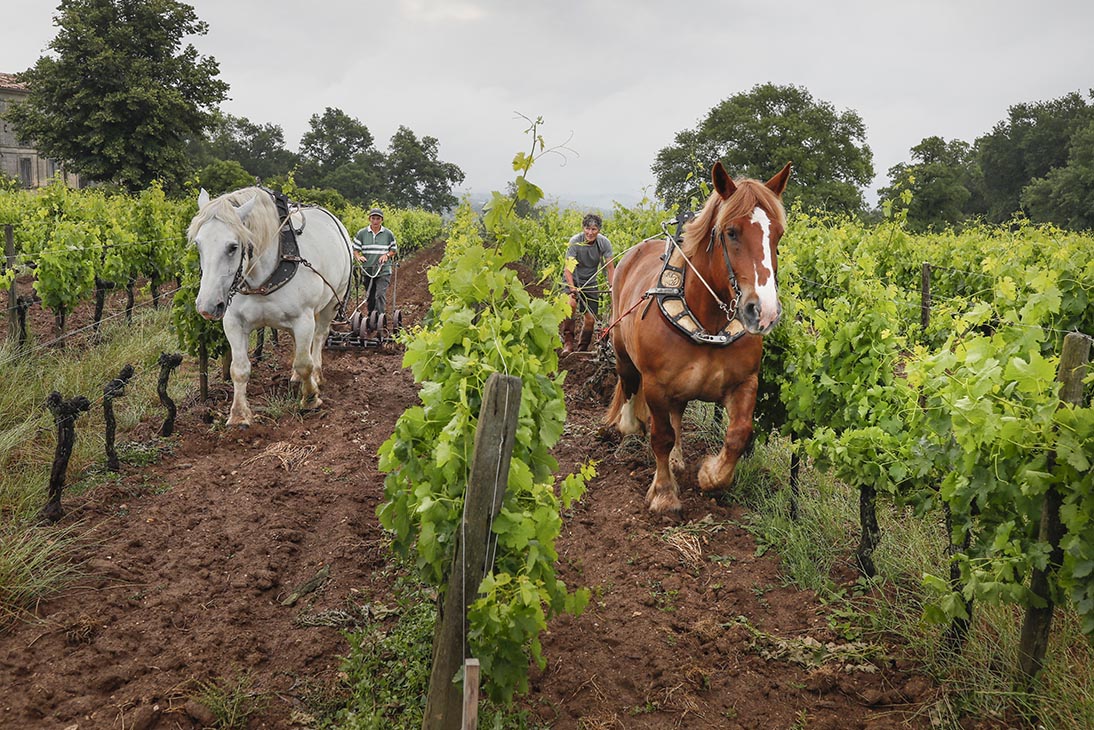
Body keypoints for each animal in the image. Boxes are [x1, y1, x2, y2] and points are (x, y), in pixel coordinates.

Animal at [190, 187, 352, 429]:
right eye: (198, 244)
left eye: (233, 247)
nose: (207, 306)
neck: (263, 279)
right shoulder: (233, 322)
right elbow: (239, 369)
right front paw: (239, 415)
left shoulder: (303, 319)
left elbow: (304, 362)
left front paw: (310, 398)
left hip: (332, 302)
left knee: (319, 337)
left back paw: (317, 375)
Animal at [603, 160, 792, 514]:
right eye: (731, 232)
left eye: (778, 234)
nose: (764, 312)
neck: (708, 324)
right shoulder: (656, 385)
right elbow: (660, 435)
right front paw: (664, 493)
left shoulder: (745, 382)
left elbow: (738, 434)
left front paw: (710, 474)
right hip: (622, 351)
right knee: (629, 385)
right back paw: (630, 427)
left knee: (678, 414)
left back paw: (678, 459)